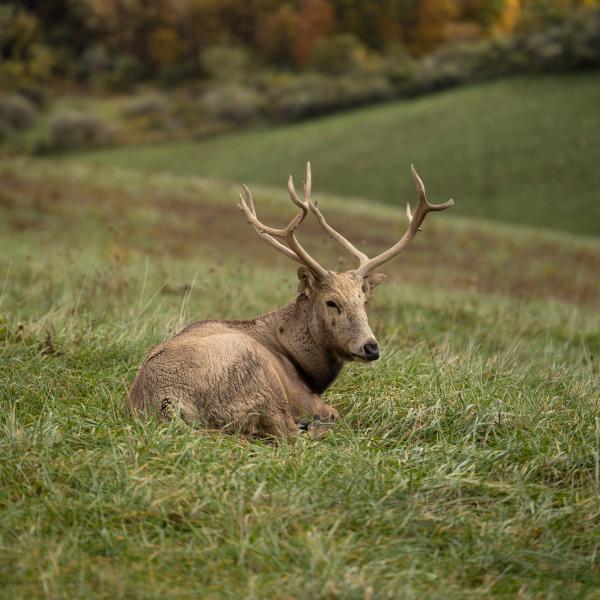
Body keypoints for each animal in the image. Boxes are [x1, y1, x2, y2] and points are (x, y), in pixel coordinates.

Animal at [127, 162, 454, 438]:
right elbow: (331, 413)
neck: (304, 365)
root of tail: (167, 402)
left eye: (364, 301)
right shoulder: (303, 396)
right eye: (331, 302)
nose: (371, 348)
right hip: (257, 376)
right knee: (287, 433)